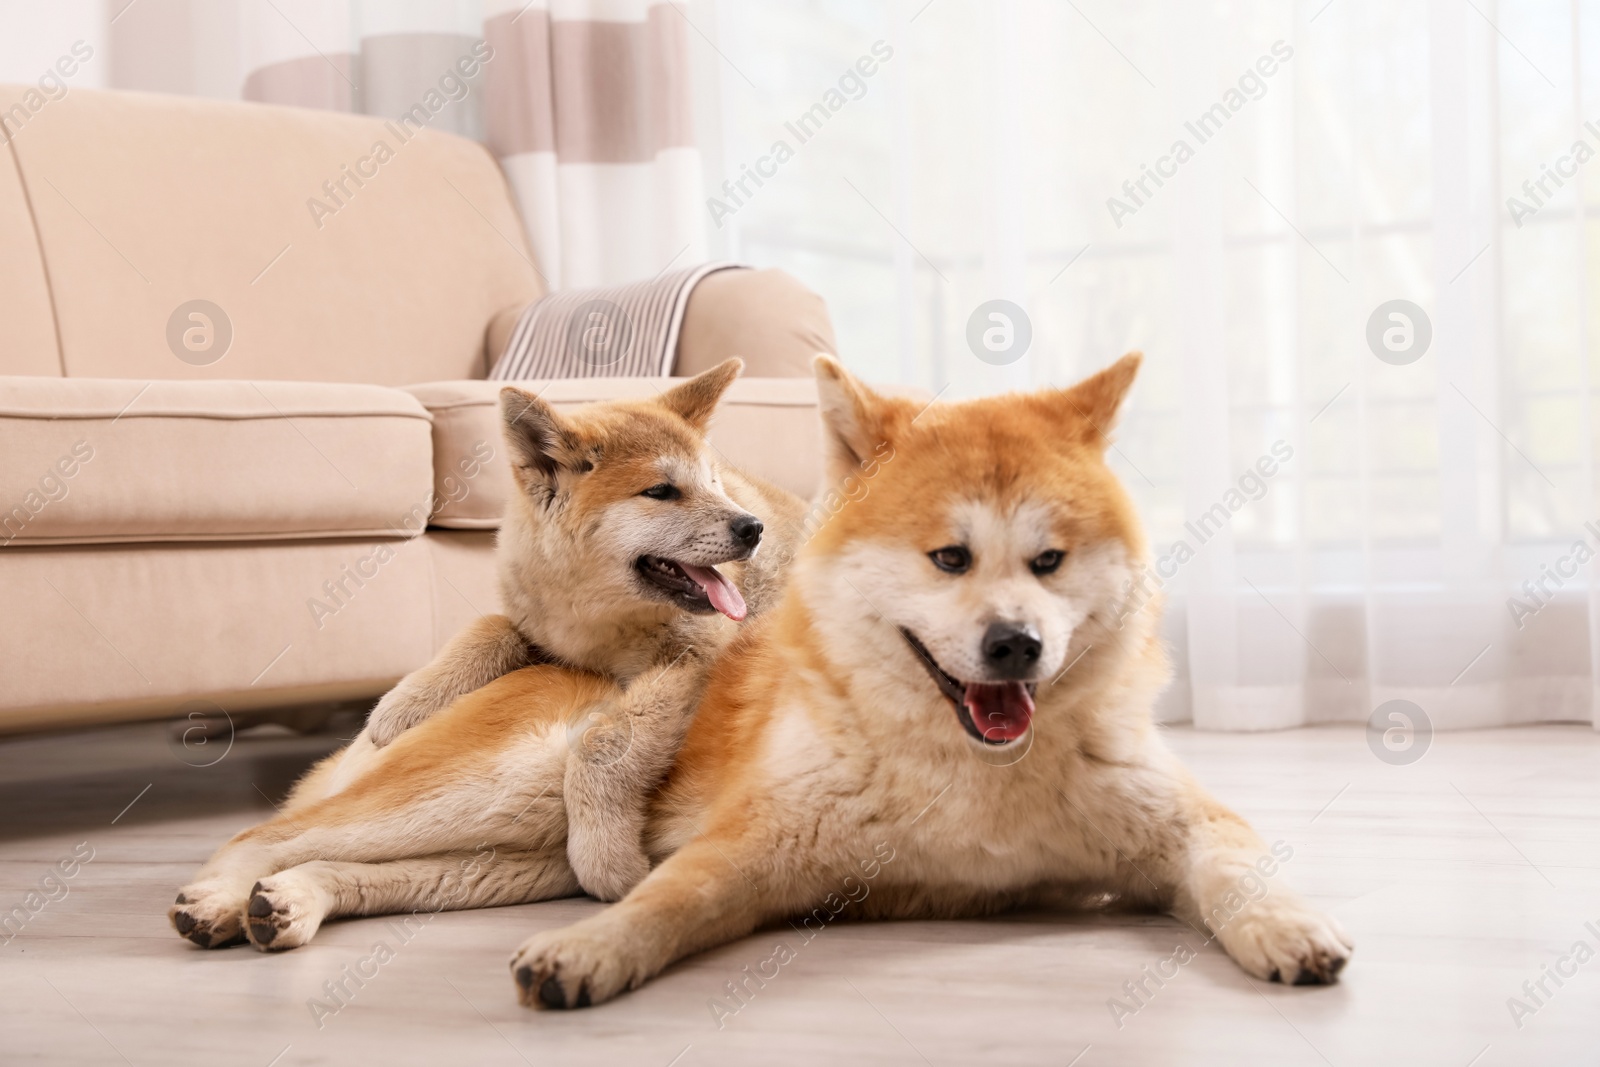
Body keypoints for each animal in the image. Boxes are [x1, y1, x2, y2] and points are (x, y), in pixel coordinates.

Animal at [172, 356, 1350, 1004]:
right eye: (947, 558)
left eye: (1051, 561)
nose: (1017, 645)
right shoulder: (750, 840)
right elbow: (660, 901)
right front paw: (589, 955)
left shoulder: (1182, 825)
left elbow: (1241, 873)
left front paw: (1290, 931)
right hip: (473, 794)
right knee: (266, 831)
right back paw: (223, 892)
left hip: (511, 851)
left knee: (337, 860)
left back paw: (292, 905)